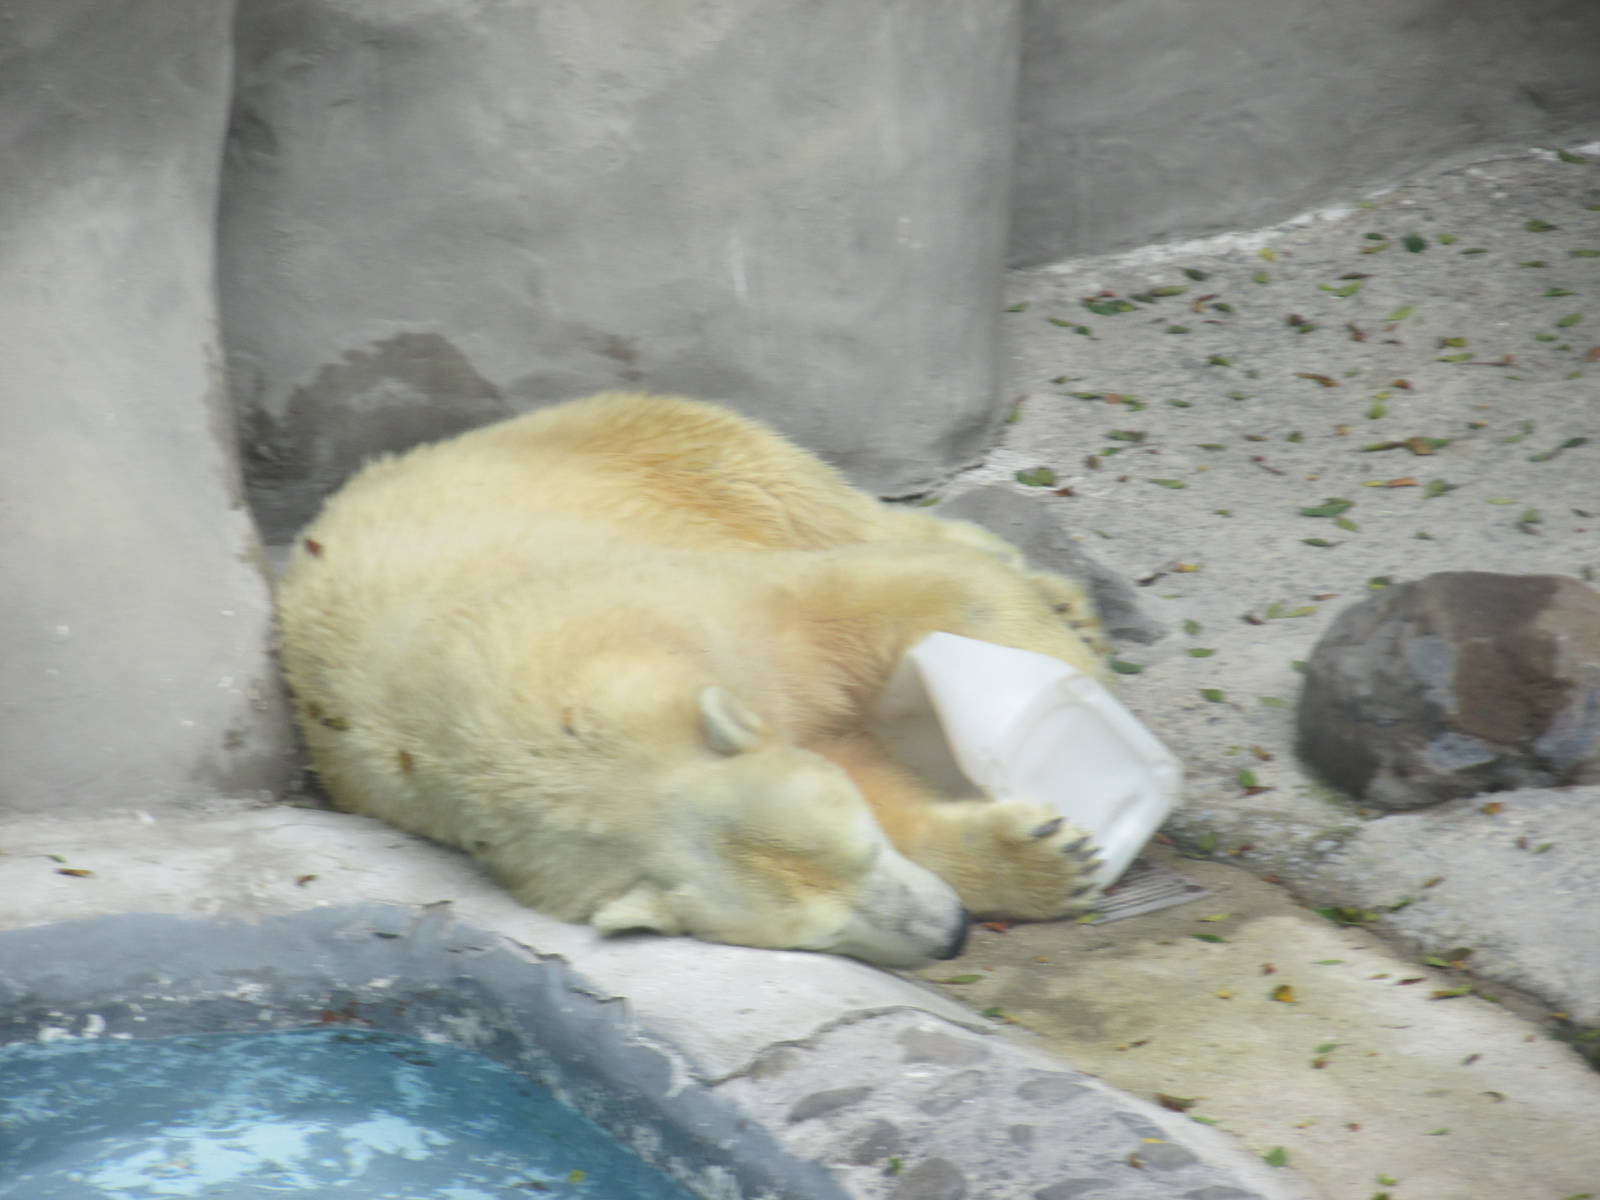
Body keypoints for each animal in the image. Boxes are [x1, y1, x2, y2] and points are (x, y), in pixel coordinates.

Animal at [276, 392, 1110, 966]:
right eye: (819, 936)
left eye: (863, 851)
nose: (951, 936)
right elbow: (867, 770)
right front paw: (1046, 860)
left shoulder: (698, 603)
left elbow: (882, 597)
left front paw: (1075, 692)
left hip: (652, 453)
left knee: (837, 512)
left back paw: (1061, 598)